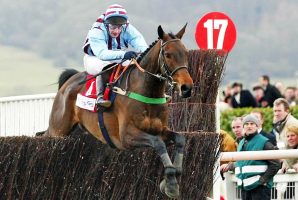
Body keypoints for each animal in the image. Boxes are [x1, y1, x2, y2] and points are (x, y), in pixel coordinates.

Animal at [43, 24, 193, 198]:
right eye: (168, 54)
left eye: (186, 53)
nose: (187, 88)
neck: (146, 91)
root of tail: (68, 82)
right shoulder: (126, 137)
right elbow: (158, 143)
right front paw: (170, 182)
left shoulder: (160, 129)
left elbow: (180, 139)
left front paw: (175, 177)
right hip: (58, 130)